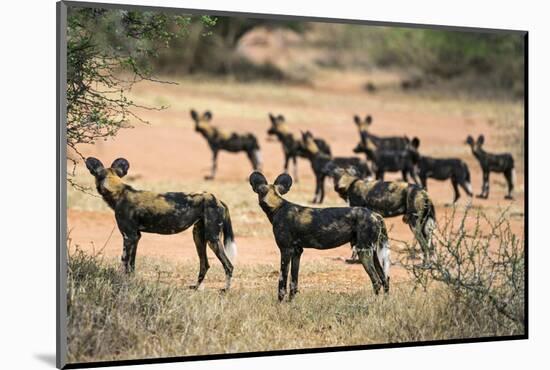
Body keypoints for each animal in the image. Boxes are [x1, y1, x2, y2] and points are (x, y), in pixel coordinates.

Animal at [85, 158, 236, 290]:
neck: (118, 191)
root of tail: (217, 199)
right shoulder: (136, 237)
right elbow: (131, 265)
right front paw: (130, 281)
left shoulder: (129, 237)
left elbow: (124, 262)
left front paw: (122, 282)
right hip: (198, 237)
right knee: (205, 264)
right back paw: (196, 287)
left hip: (212, 239)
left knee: (229, 265)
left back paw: (225, 289)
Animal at [250, 172, 392, 302]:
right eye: (261, 192)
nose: (265, 202)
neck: (277, 205)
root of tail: (375, 214)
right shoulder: (297, 251)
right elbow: (293, 283)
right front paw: (291, 303)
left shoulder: (285, 251)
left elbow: (282, 283)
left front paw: (280, 305)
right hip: (373, 253)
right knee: (385, 279)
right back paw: (384, 303)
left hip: (363, 252)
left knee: (376, 281)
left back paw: (373, 304)